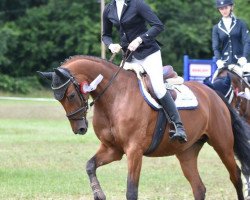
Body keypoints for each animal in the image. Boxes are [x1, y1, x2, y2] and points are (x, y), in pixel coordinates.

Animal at [37, 55, 250, 200]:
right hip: (187, 152)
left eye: (71, 96)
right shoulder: (113, 150)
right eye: (59, 100)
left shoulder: (134, 151)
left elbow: (131, 191)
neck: (115, 96)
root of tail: (212, 93)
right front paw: (99, 194)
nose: (79, 128)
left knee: (236, 176)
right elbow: (90, 166)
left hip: (222, 145)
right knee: (199, 188)